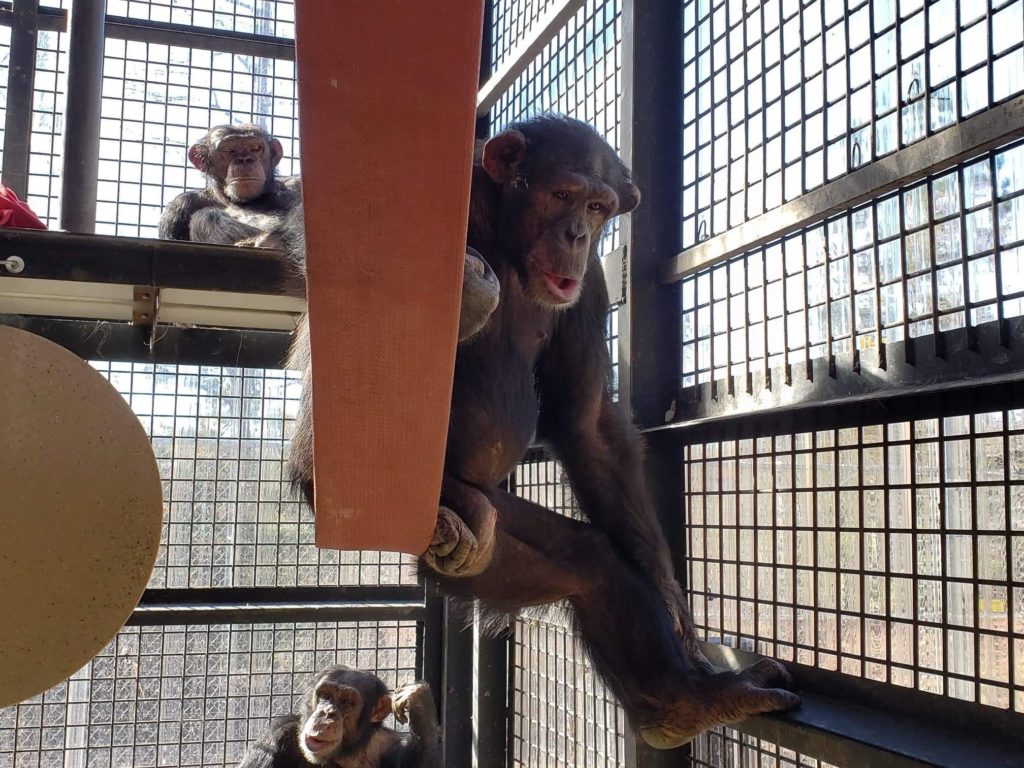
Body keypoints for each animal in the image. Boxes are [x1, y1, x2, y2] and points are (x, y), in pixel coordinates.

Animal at [237, 667, 442, 768]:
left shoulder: (392, 744)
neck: (346, 754)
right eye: (325, 695)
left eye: (345, 701)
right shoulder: (275, 737)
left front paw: (418, 701)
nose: (327, 712)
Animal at [286, 115, 798, 753]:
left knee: (589, 560)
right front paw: (466, 293)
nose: (577, 233)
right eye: (561, 194)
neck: (504, 235)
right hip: (398, 512)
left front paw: (672, 598)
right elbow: (350, 286)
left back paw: (684, 703)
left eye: (599, 207)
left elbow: (588, 423)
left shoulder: (593, 282)